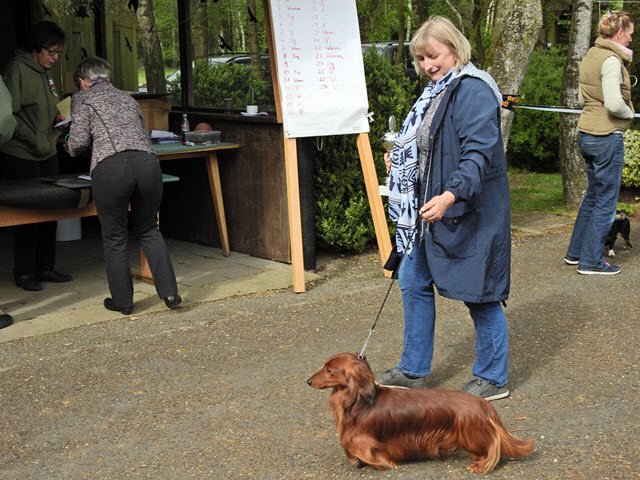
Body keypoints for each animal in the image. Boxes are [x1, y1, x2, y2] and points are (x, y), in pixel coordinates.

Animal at [308, 350, 532, 474]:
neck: (359, 401)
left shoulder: (364, 440)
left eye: (329, 370)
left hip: (471, 435)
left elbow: (368, 452)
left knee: (492, 447)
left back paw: (480, 466)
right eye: (324, 366)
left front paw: (383, 464)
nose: (308, 381)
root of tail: (485, 406)